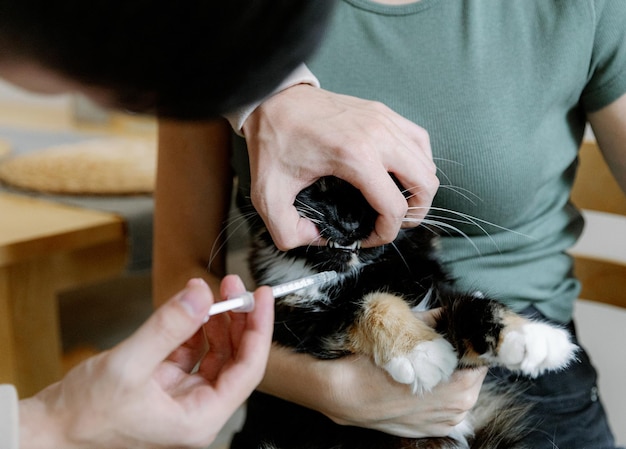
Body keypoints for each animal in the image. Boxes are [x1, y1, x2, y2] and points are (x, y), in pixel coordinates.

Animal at [238, 176, 576, 448]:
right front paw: (420, 352)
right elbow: (369, 303)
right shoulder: (304, 326)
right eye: (316, 183)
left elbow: (472, 306)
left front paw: (532, 337)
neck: (360, 276)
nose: (349, 222)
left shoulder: (439, 296)